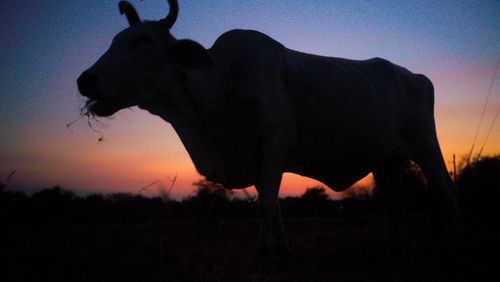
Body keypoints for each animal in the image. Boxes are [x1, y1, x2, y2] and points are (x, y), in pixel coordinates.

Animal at [79, 0, 460, 256]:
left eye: (142, 41)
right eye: (115, 40)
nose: (86, 80)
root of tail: (415, 76)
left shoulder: (275, 142)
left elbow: (265, 205)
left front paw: (267, 253)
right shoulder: (259, 157)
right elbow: (271, 205)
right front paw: (278, 249)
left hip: (427, 147)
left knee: (443, 190)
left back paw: (447, 244)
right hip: (385, 161)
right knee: (394, 201)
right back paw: (392, 243)